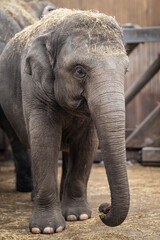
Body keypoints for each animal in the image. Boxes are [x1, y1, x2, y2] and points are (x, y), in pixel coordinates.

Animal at [0, 8, 130, 233]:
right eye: (79, 70)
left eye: (126, 71)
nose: (103, 208)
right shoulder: (33, 87)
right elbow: (45, 140)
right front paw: (46, 229)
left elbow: (87, 145)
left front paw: (78, 216)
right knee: (22, 140)